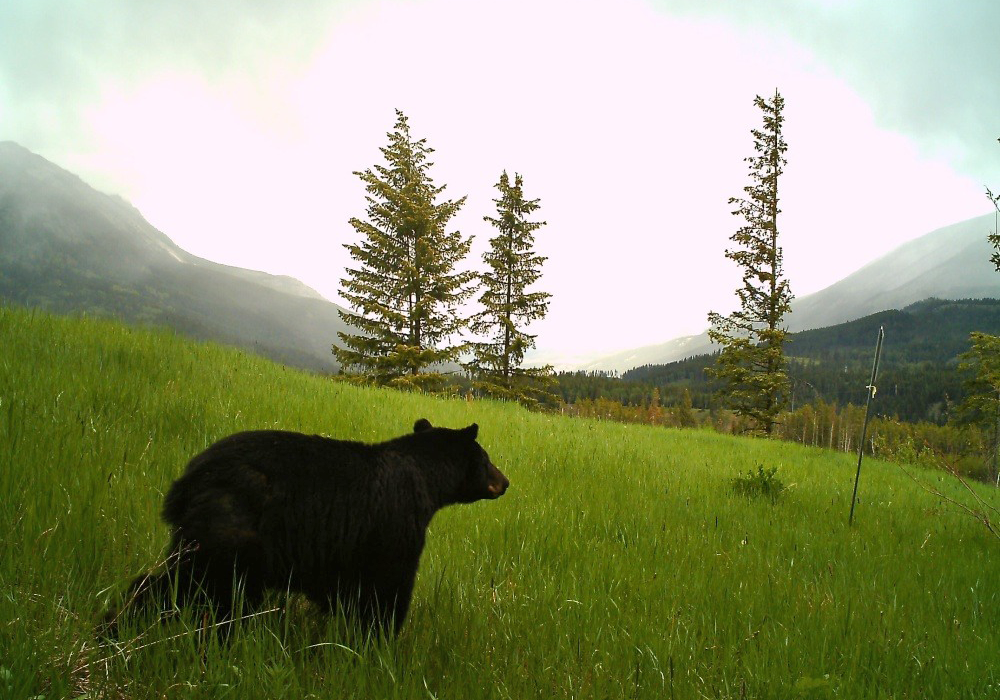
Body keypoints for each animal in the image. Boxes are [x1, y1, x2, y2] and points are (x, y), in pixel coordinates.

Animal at [105, 419, 508, 637]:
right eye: (487, 459)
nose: (506, 482)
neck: (425, 475)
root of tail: (188, 479)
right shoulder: (394, 529)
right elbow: (388, 590)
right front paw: (379, 644)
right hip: (233, 534)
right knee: (203, 590)